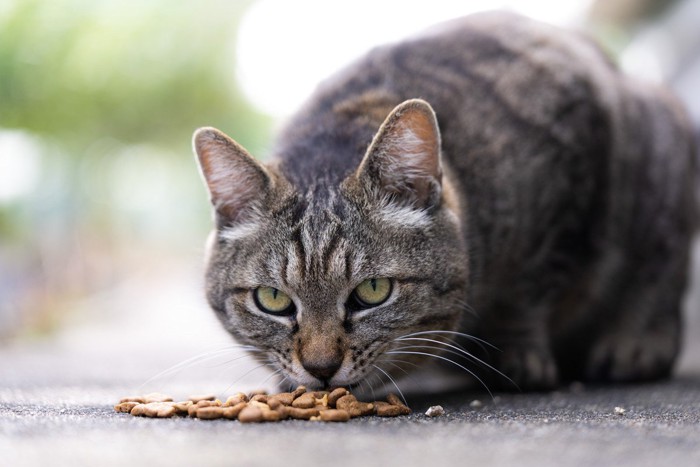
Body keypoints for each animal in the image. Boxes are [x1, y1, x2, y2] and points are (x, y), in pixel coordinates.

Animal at [193, 11, 700, 392]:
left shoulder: (569, 177)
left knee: (663, 262)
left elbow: (529, 288)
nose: (320, 368)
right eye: (273, 300)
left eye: (372, 292)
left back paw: (636, 341)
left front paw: (516, 350)